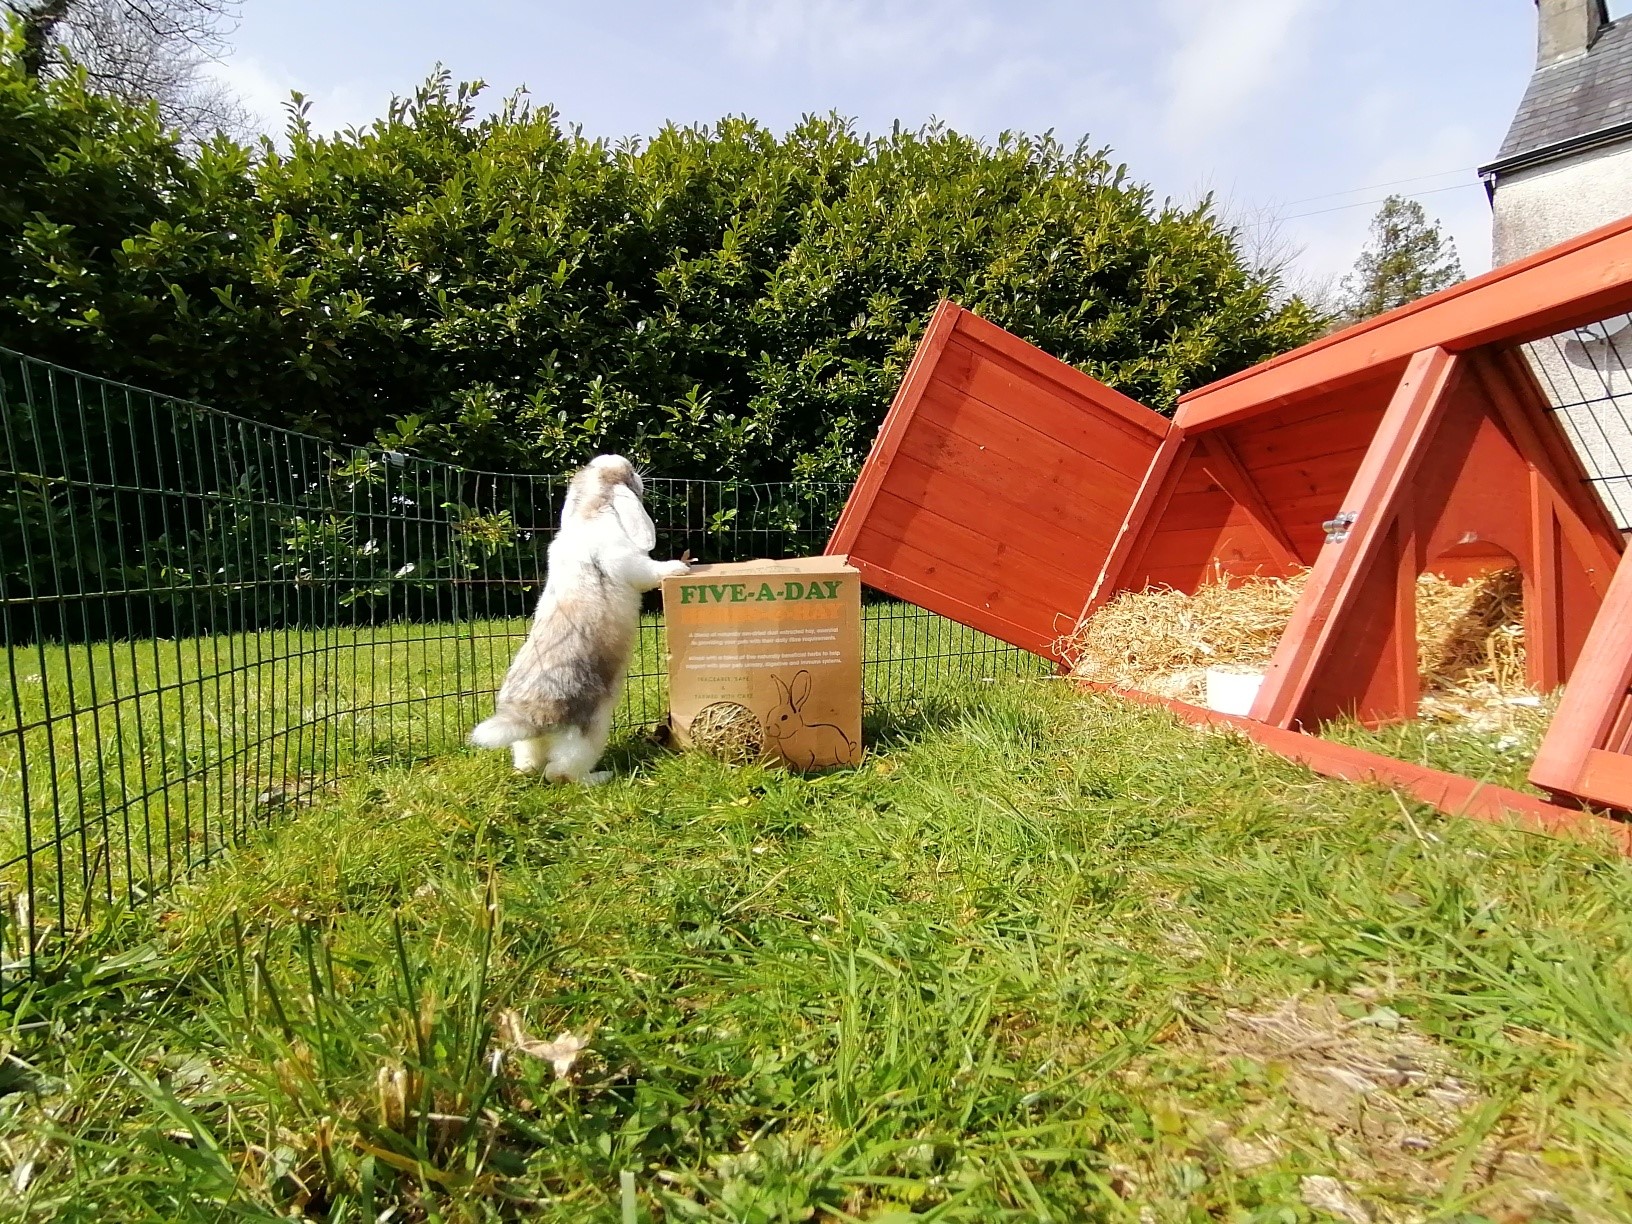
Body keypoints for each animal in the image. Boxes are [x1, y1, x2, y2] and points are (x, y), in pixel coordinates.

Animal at [469, 454, 689, 783]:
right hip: (587, 735)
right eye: (628, 473)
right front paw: (679, 567)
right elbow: (649, 571)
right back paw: (601, 777)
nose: (639, 474)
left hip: (528, 745)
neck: (588, 512)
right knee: (560, 774)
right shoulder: (628, 561)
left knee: (531, 763)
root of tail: (530, 718)